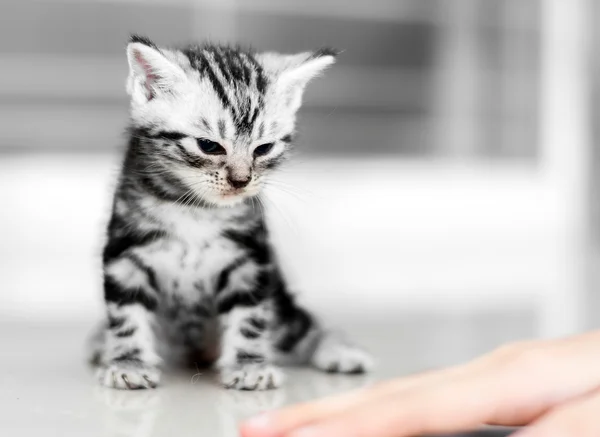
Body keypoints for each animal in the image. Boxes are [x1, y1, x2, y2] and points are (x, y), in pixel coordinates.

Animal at [89, 34, 372, 388]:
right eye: (209, 146)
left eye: (263, 149)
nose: (241, 180)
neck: (195, 210)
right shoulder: (126, 253)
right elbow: (126, 315)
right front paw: (129, 361)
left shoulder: (250, 260)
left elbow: (250, 318)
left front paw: (250, 365)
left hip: (281, 309)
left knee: (301, 329)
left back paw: (338, 350)